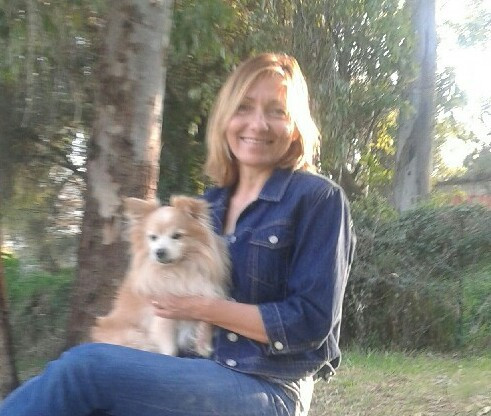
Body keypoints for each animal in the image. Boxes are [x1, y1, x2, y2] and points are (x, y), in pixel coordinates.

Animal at [91, 195, 230, 357]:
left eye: (177, 236)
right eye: (153, 238)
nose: (159, 251)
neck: (178, 270)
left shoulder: (205, 292)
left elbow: (206, 318)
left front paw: (204, 346)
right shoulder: (162, 316)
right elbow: (169, 347)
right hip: (134, 335)